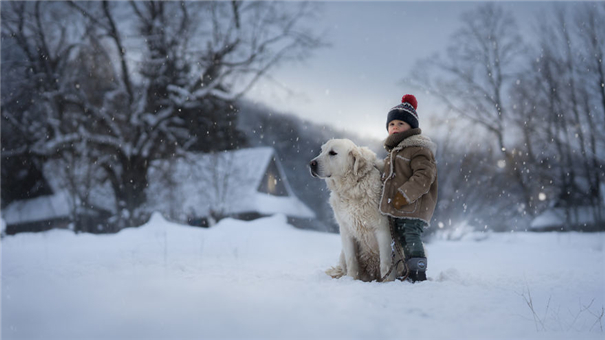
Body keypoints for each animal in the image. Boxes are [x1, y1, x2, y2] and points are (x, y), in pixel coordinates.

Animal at [310, 138, 404, 282]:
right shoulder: (346, 229)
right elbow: (352, 260)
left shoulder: (383, 229)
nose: (311, 164)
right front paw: (351, 280)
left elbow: (386, 262)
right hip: (342, 254)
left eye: (333, 153)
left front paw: (388, 282)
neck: (354, 186)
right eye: (322, 151)